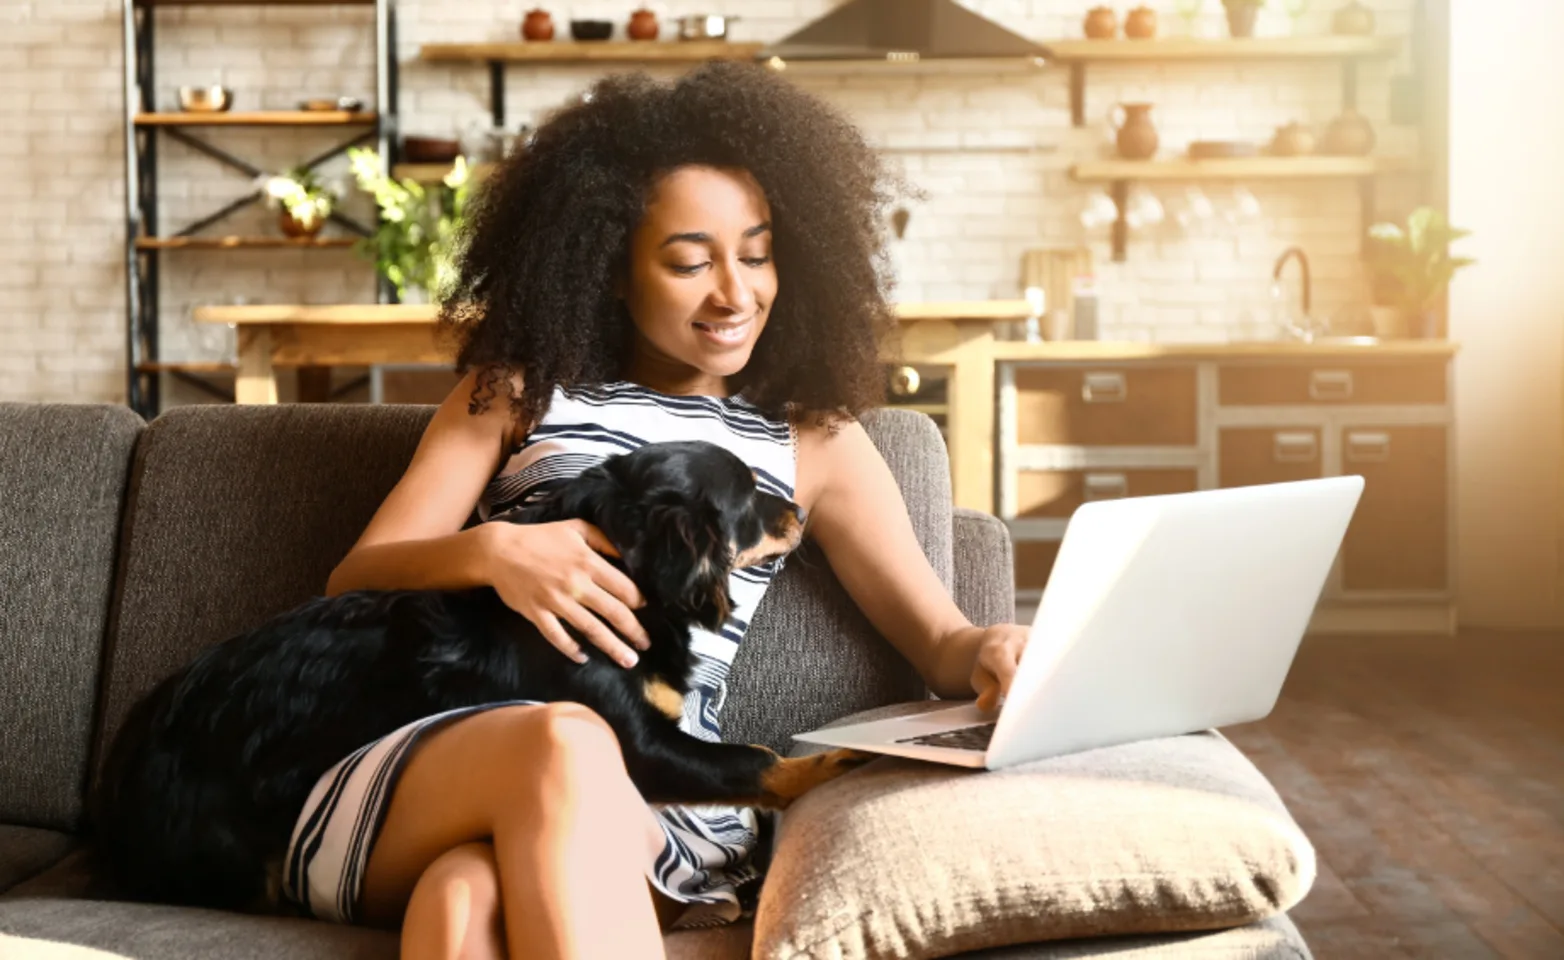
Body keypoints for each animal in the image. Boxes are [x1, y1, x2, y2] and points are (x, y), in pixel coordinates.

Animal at [93, 440, 875, 913]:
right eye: (746, 496)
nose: (799, 511)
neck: (624, 563)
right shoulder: (637, 745)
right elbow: (756, 759)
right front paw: (831, 764)